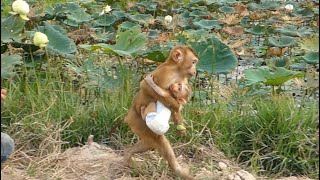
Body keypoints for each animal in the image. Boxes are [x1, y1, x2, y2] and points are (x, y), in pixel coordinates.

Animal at [124, 45, 198, 179]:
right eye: (193, 62)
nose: (195, 71)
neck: (177, 70)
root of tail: (129, 117)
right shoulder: (166, 73)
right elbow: (146, 86)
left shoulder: (183, 79)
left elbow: (177, 105)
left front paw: (181, 129)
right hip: (137, 122)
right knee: (157, 140)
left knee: (151, 142)